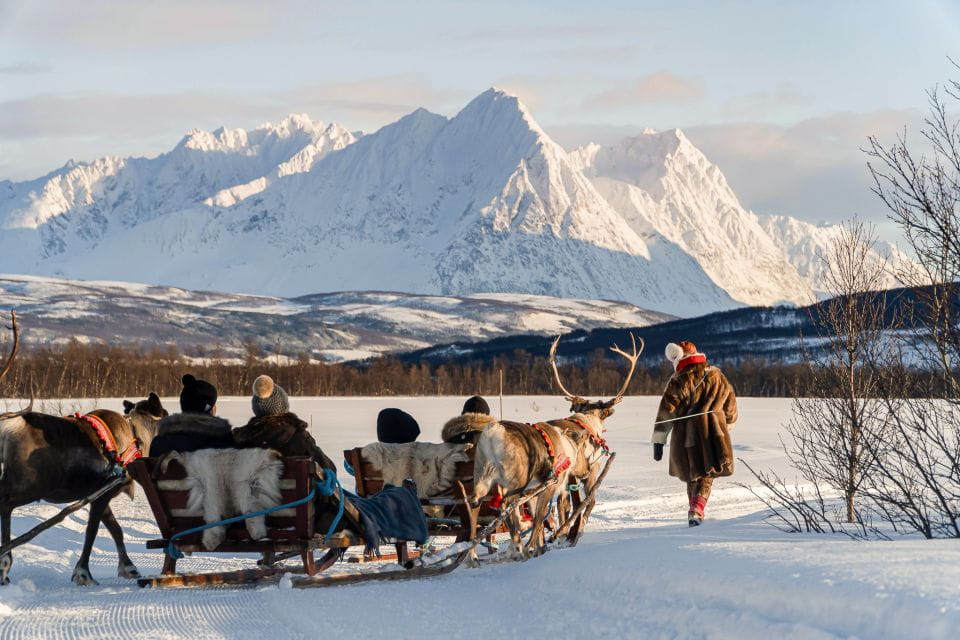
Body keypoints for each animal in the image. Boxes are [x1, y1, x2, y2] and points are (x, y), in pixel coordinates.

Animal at [0, 312, 169, 585]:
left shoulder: (102, 494)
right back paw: (5, 562)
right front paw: (83, 573)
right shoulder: (100, 493)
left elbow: (116, 530)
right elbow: (92, 531)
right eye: (166, 415)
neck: (136, 437)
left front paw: (129, 568)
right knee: (5, 503)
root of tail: (7, 428)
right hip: (30, 484)